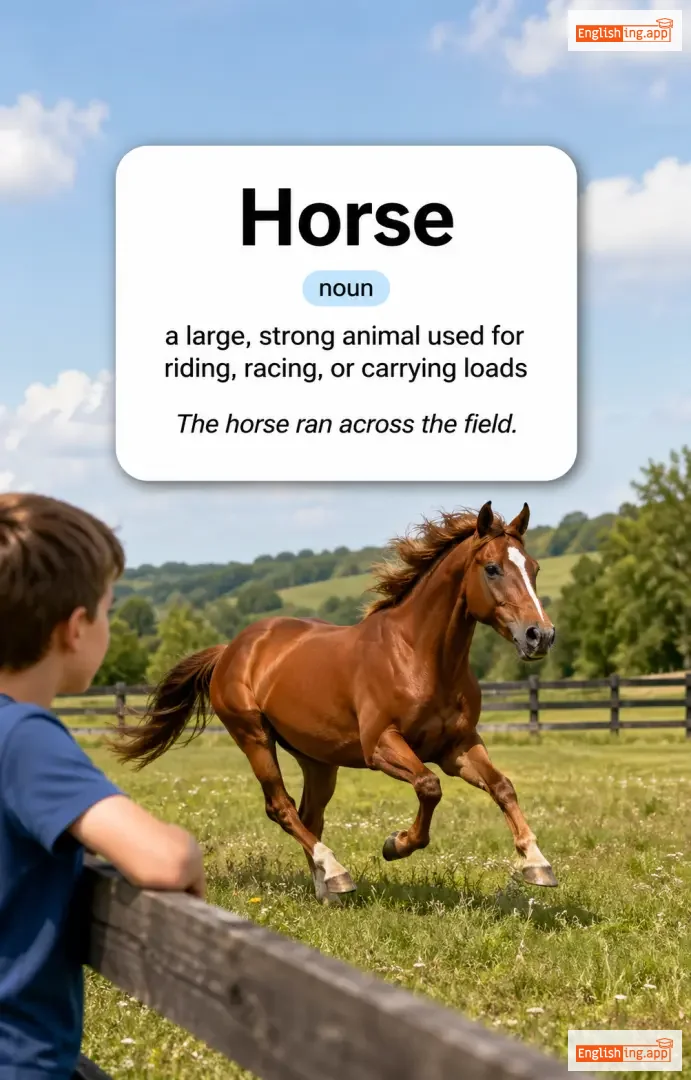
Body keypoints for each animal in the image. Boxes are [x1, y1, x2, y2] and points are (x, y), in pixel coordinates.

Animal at [112, 500, 558, 904]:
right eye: (492, 568)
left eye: (535, 568)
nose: (540, 636)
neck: (420, 658)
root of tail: (230, 650)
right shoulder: (381, 746)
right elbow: (429, 787)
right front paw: (396, 844)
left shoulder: (457, 746)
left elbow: (502, 786)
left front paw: (537, 864)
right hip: (253, 736)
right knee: (282, 807)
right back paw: (337, 871)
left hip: (318, 760)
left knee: (310, 814)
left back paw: (327, 888)